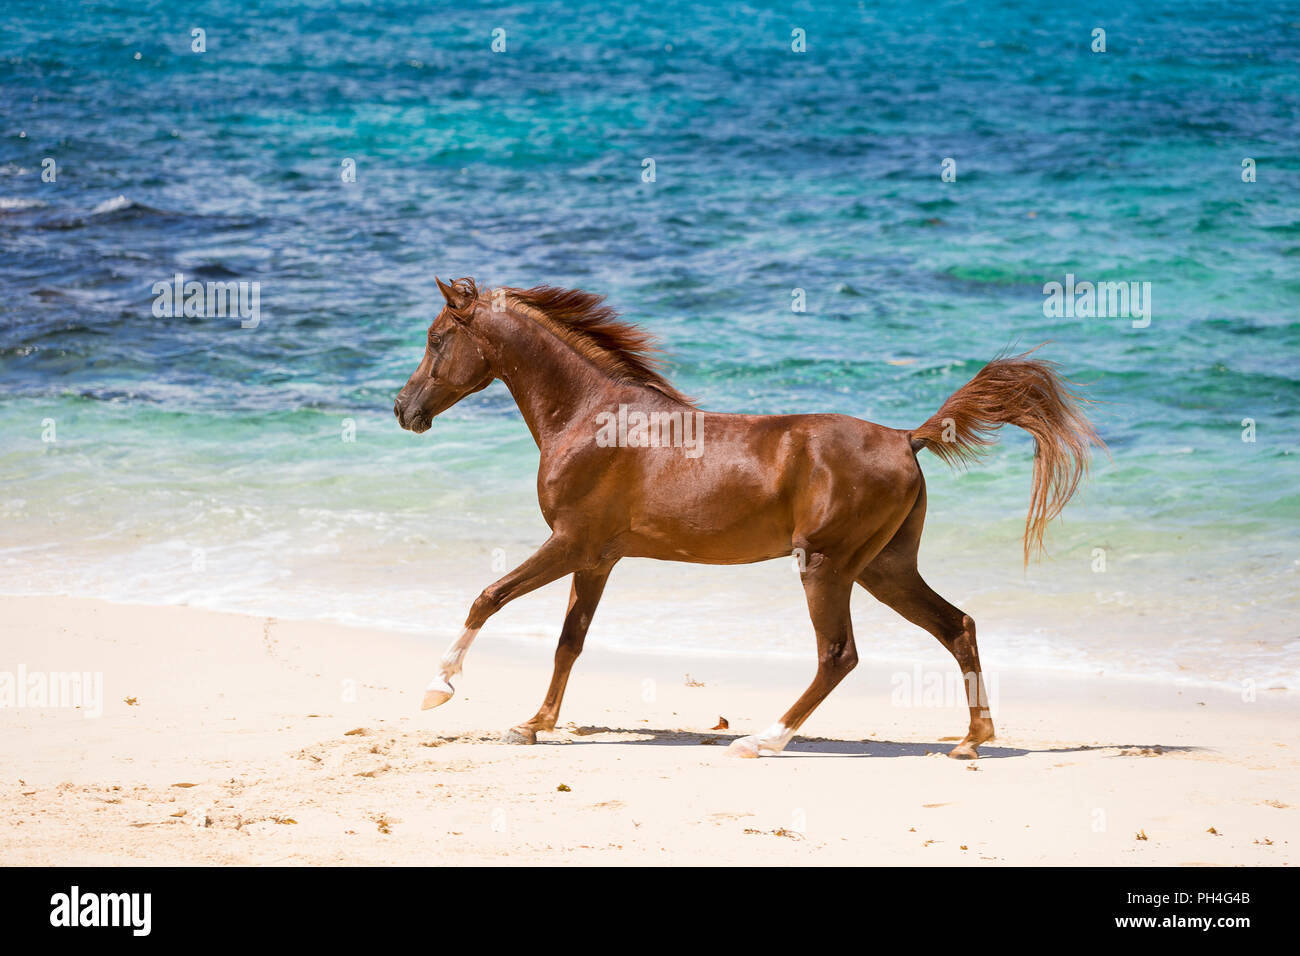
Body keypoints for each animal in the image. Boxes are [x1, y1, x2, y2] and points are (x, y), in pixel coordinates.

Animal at [392, 278, 1097, 764]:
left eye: (435, 339)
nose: (403, 409)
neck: (591, 417)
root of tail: (907, 437)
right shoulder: (597, 558)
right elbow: (570, 641)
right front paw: (533, 725)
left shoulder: (569, 543)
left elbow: (488, 597)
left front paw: (437, 688)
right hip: (885, 568)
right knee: (957, 627)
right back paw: (971, 741)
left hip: (827, 566)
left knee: (839, 654)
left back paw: (762, 740)